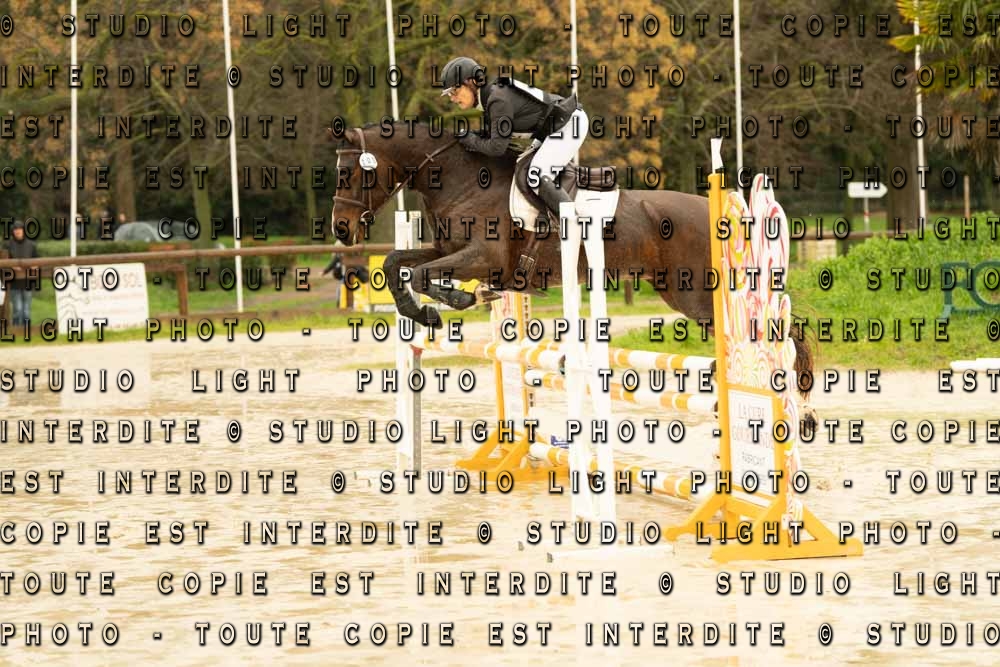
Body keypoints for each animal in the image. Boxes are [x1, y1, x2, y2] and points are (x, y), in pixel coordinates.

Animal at [328, 120, 817, 402]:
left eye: (348, 172)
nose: (341, 229)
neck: (462, 179)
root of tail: (725, 215)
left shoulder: (482, 258)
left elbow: (421, 275)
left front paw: (452, 302)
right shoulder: (449, 251)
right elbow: (397, 264)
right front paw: (425, 312)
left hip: (699, 297)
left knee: (779, 334)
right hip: (683, 294)